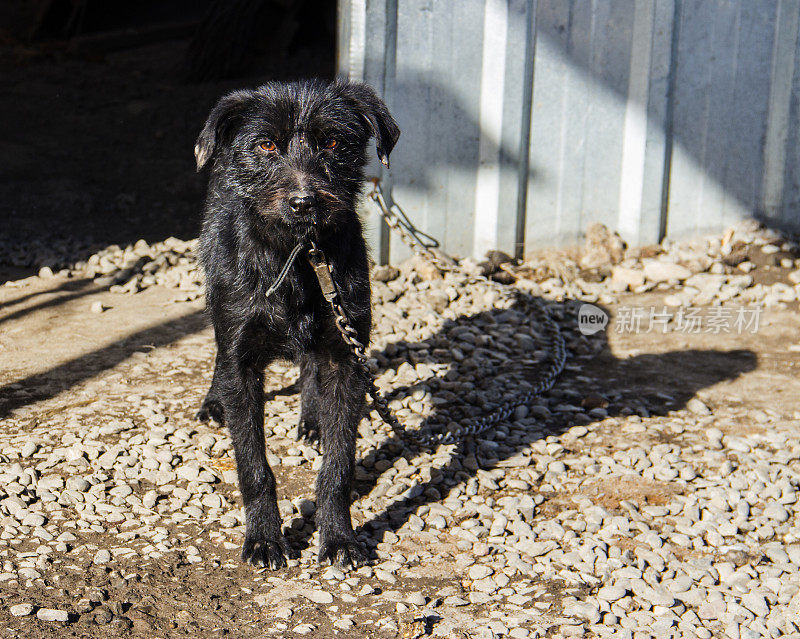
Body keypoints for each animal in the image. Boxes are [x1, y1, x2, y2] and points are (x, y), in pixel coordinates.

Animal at [194, 79, 400, 568]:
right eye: (266, 144)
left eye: (334, 143)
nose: (304, 202)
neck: (300, 253)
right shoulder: (242, 360)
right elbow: (253, 466)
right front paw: (264, 538)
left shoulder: (348, 356)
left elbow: (340, 464)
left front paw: (339, 536)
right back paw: (214, 402)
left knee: (309, 365)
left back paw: (311, 420)